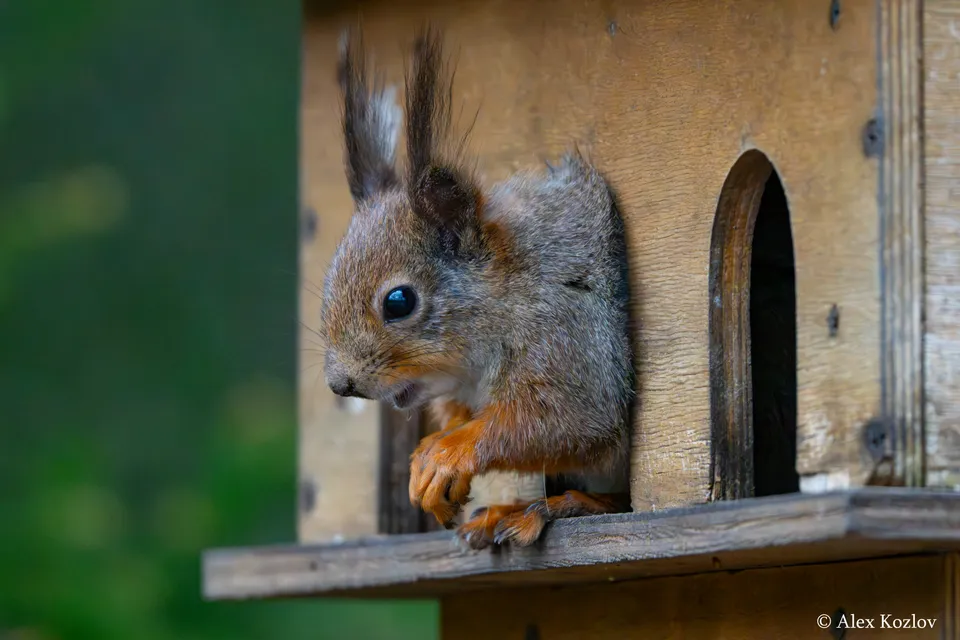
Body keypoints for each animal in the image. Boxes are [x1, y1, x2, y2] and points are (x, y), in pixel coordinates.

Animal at [320, 25, 635, 549]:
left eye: (399, 301)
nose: (340, 384)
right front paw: (430, 455)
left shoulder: (564, 332)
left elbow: (564, 419)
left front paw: (448, 455)